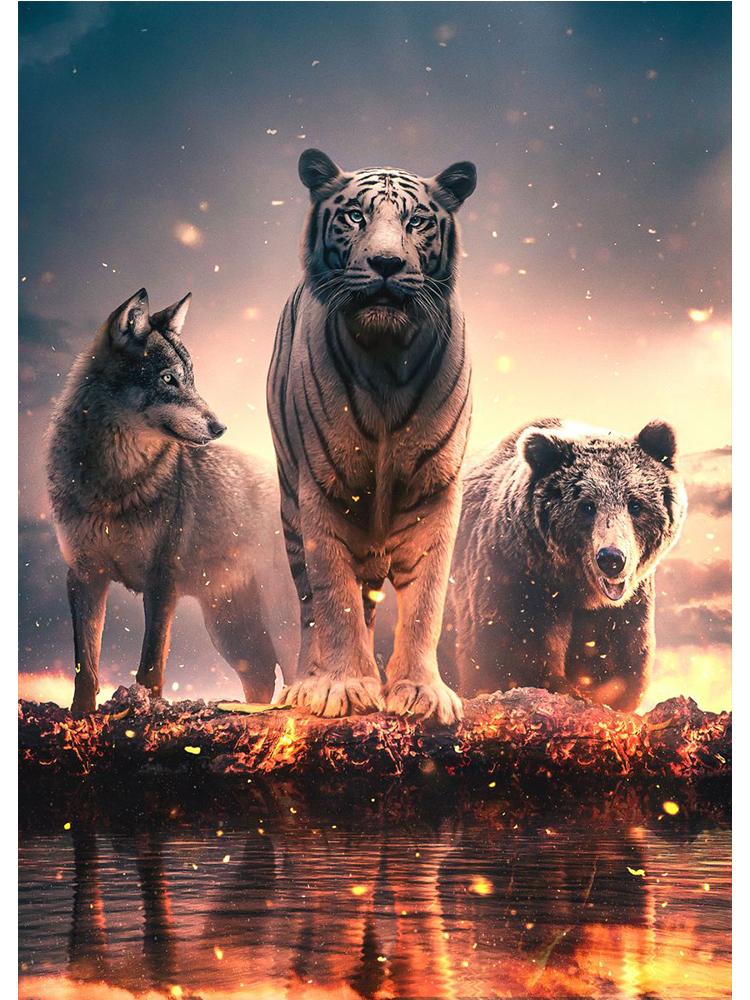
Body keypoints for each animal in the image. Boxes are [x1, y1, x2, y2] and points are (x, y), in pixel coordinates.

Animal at [266, 149, 476, 724]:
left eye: (417, 220)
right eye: (355, 215)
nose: (386, 264)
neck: (385, 359)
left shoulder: (435, 492)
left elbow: (426, 603)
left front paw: (422, 691)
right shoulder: (323, 488)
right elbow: (335, 598)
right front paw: (341, 685)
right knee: (311, 605)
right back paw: (304, 683)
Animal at [445, 418, 687, 711]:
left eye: (635, 504)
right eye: (587, 506)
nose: (611, 558)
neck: (576, 587)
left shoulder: (623, 608)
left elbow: (614, 662)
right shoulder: (515, 576)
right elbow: (510, 652)